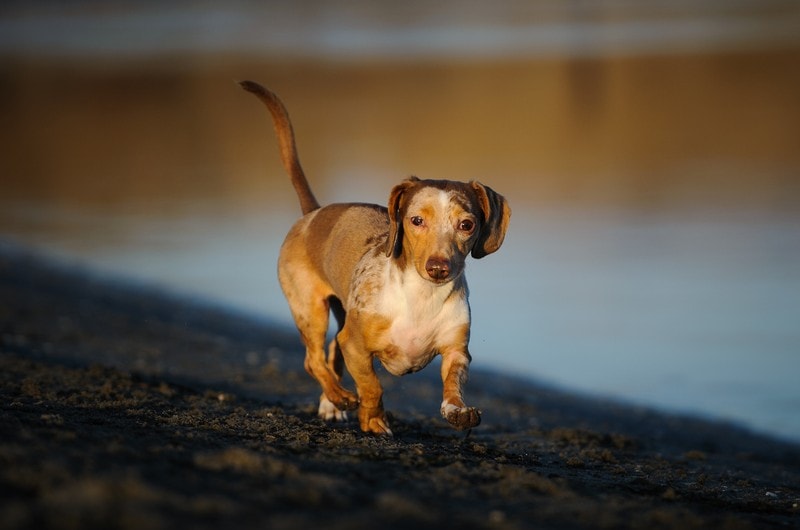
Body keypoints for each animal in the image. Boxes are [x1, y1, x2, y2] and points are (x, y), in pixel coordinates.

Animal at [241, 79, 510, 434]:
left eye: (466, 224)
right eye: (416, 220)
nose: (438, 268)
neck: (422, 297)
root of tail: (313, 213)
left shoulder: (457, 350)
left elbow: (452, 385)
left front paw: (458, 411)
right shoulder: (355, 344)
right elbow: (371, 385)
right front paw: (373, 420)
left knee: (329, 353)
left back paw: (331, 404)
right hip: (309, 309)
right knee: (313, 359)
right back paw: (339, 398)